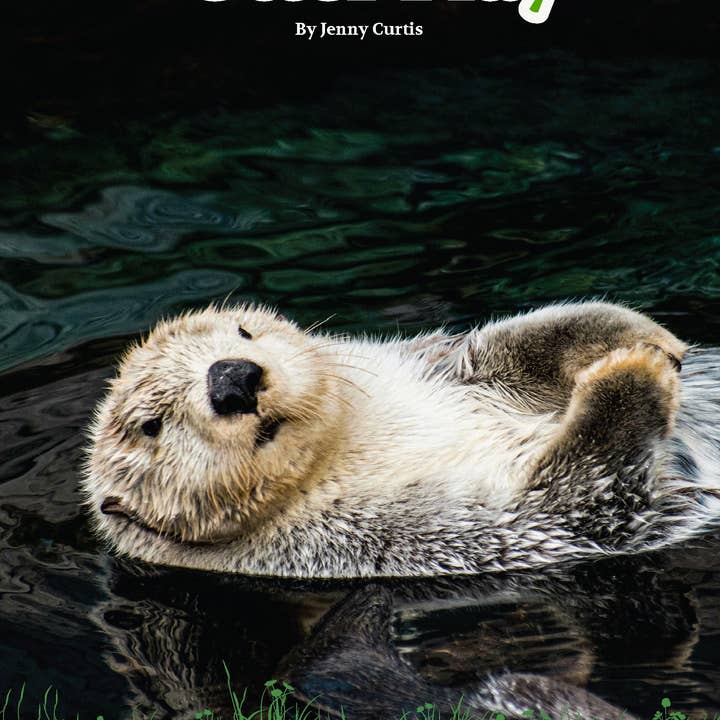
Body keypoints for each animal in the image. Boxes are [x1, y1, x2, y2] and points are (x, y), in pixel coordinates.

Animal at [82, 301, 720, 577]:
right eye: (152, 425)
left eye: (244, 331)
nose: (233, 379)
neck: (348, 446)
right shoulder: (407, 532)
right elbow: (584, 493)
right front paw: (631, 373)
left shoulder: (437, 367)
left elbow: (513, 345)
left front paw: (646, 337)